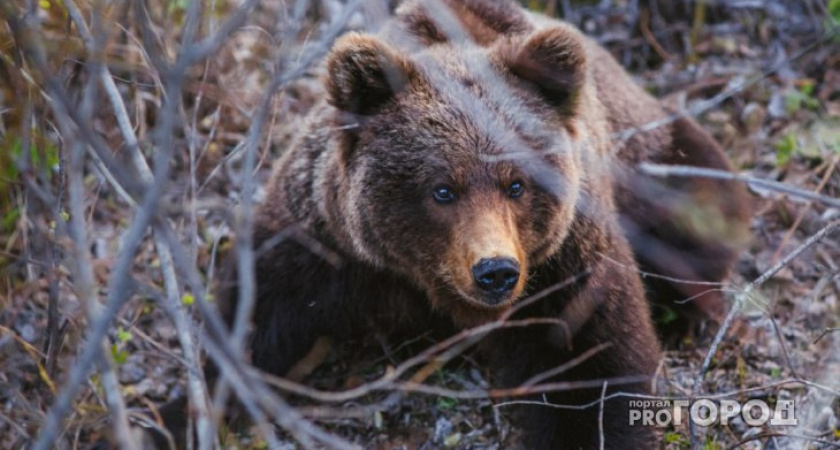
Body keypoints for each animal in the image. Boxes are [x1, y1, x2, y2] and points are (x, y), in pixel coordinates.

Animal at [162, 1, 748, 448]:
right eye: (442, 189)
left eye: (516, 184)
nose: (496, 271)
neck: (428, 286)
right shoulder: (321, 246)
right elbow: (250, 326)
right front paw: (181, 415)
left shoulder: (564, 269)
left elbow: (592, 368)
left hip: (652, 158)